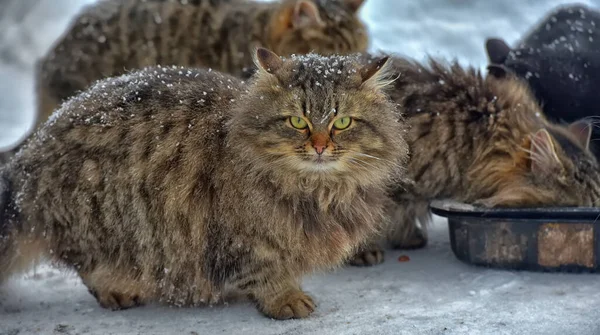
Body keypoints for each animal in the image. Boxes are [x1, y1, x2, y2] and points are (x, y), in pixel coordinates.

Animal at [1, 49, 408, 320]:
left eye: (342, 123)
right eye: (297, 121)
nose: (320, 146)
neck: (317, 190)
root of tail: (29, 158)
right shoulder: (241, 236)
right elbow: (265, 272)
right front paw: (284, 299)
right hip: (98, 218)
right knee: (86, 265)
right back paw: (118, 290)